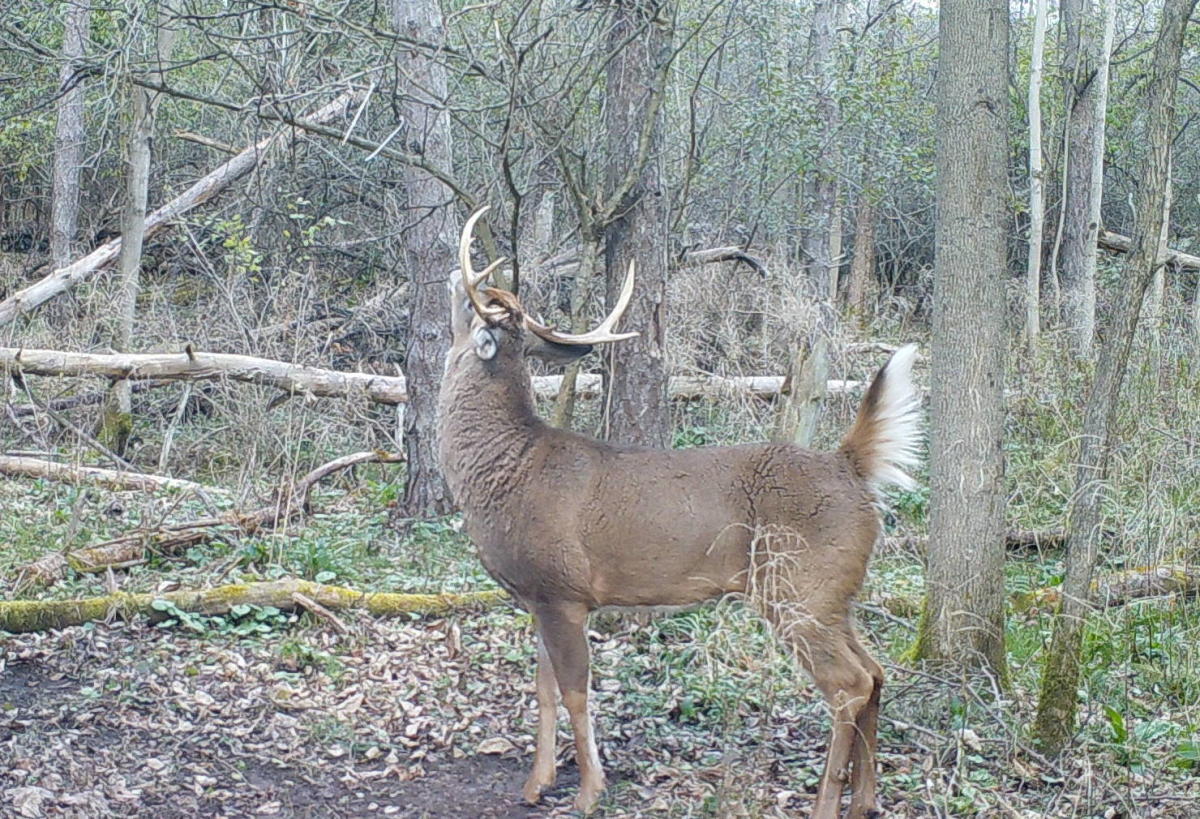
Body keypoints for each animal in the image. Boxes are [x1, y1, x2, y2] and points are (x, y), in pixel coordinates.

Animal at [439, 208, 916, 816]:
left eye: (479, 303)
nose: (457, 275)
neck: (507, 467)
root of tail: (848, 465)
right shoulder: (537, 596)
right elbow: (543, 690)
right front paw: (535, 785)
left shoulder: (564, 590)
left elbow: (575, 692)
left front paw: (589, 792)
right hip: (833, 592)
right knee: (875, 672)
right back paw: (864, 800)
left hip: (795, 585)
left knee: (849, 683)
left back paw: (826, 804)